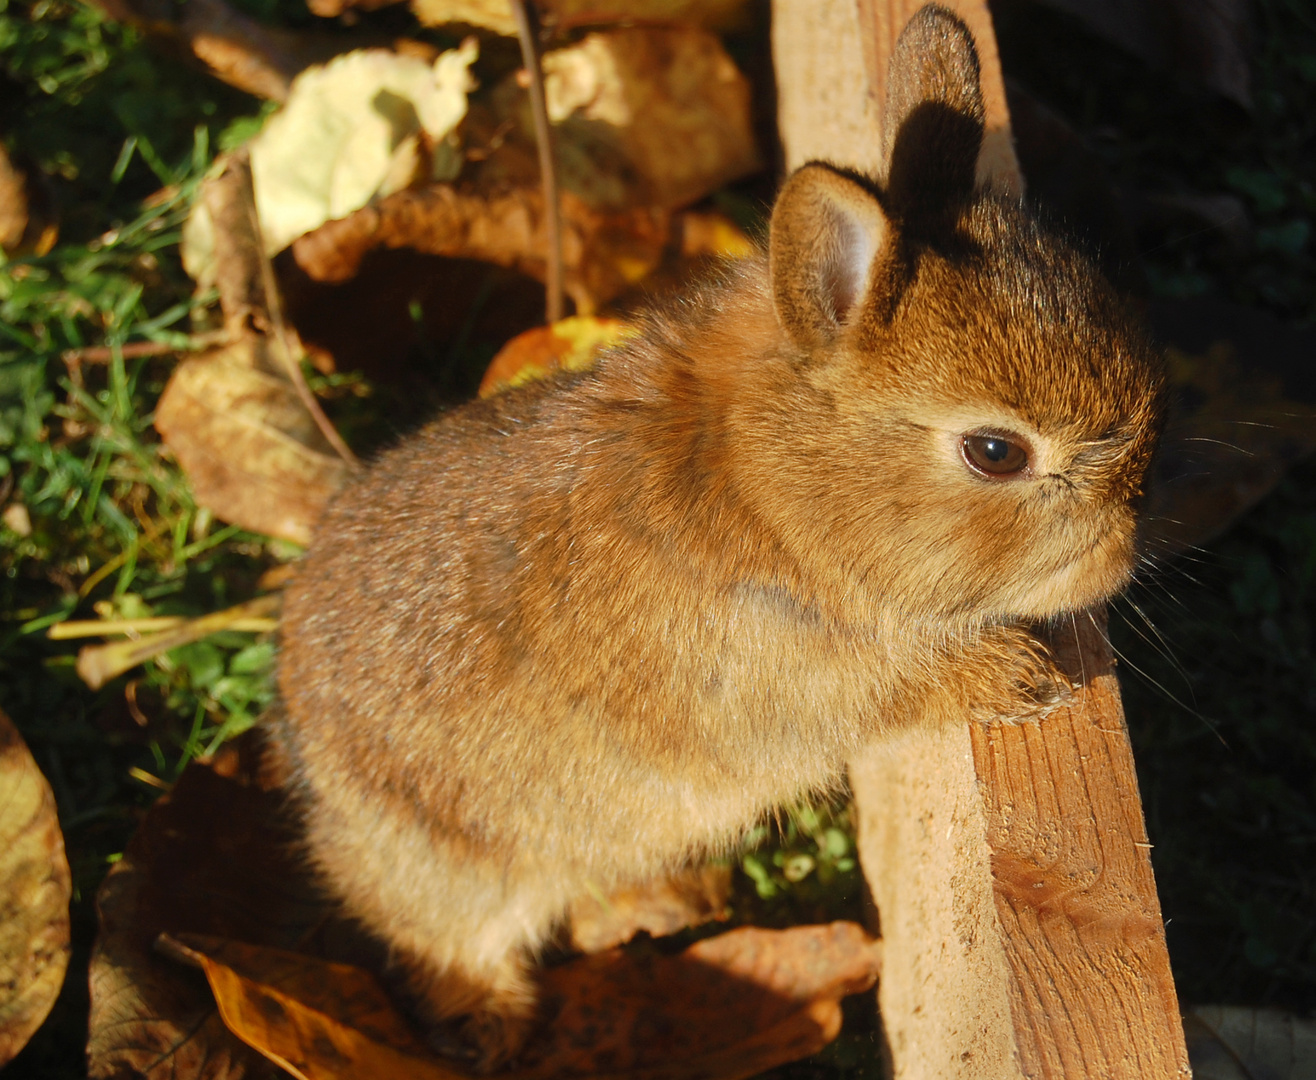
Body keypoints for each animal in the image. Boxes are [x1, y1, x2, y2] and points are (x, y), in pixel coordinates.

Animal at [267, 6, 1163, 1068]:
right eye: (995, 451)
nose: (1120, 554)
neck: (773, 490)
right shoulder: (788, 681)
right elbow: (891, 688)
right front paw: (1021, 681)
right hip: (460, 873)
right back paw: (490, 1025)